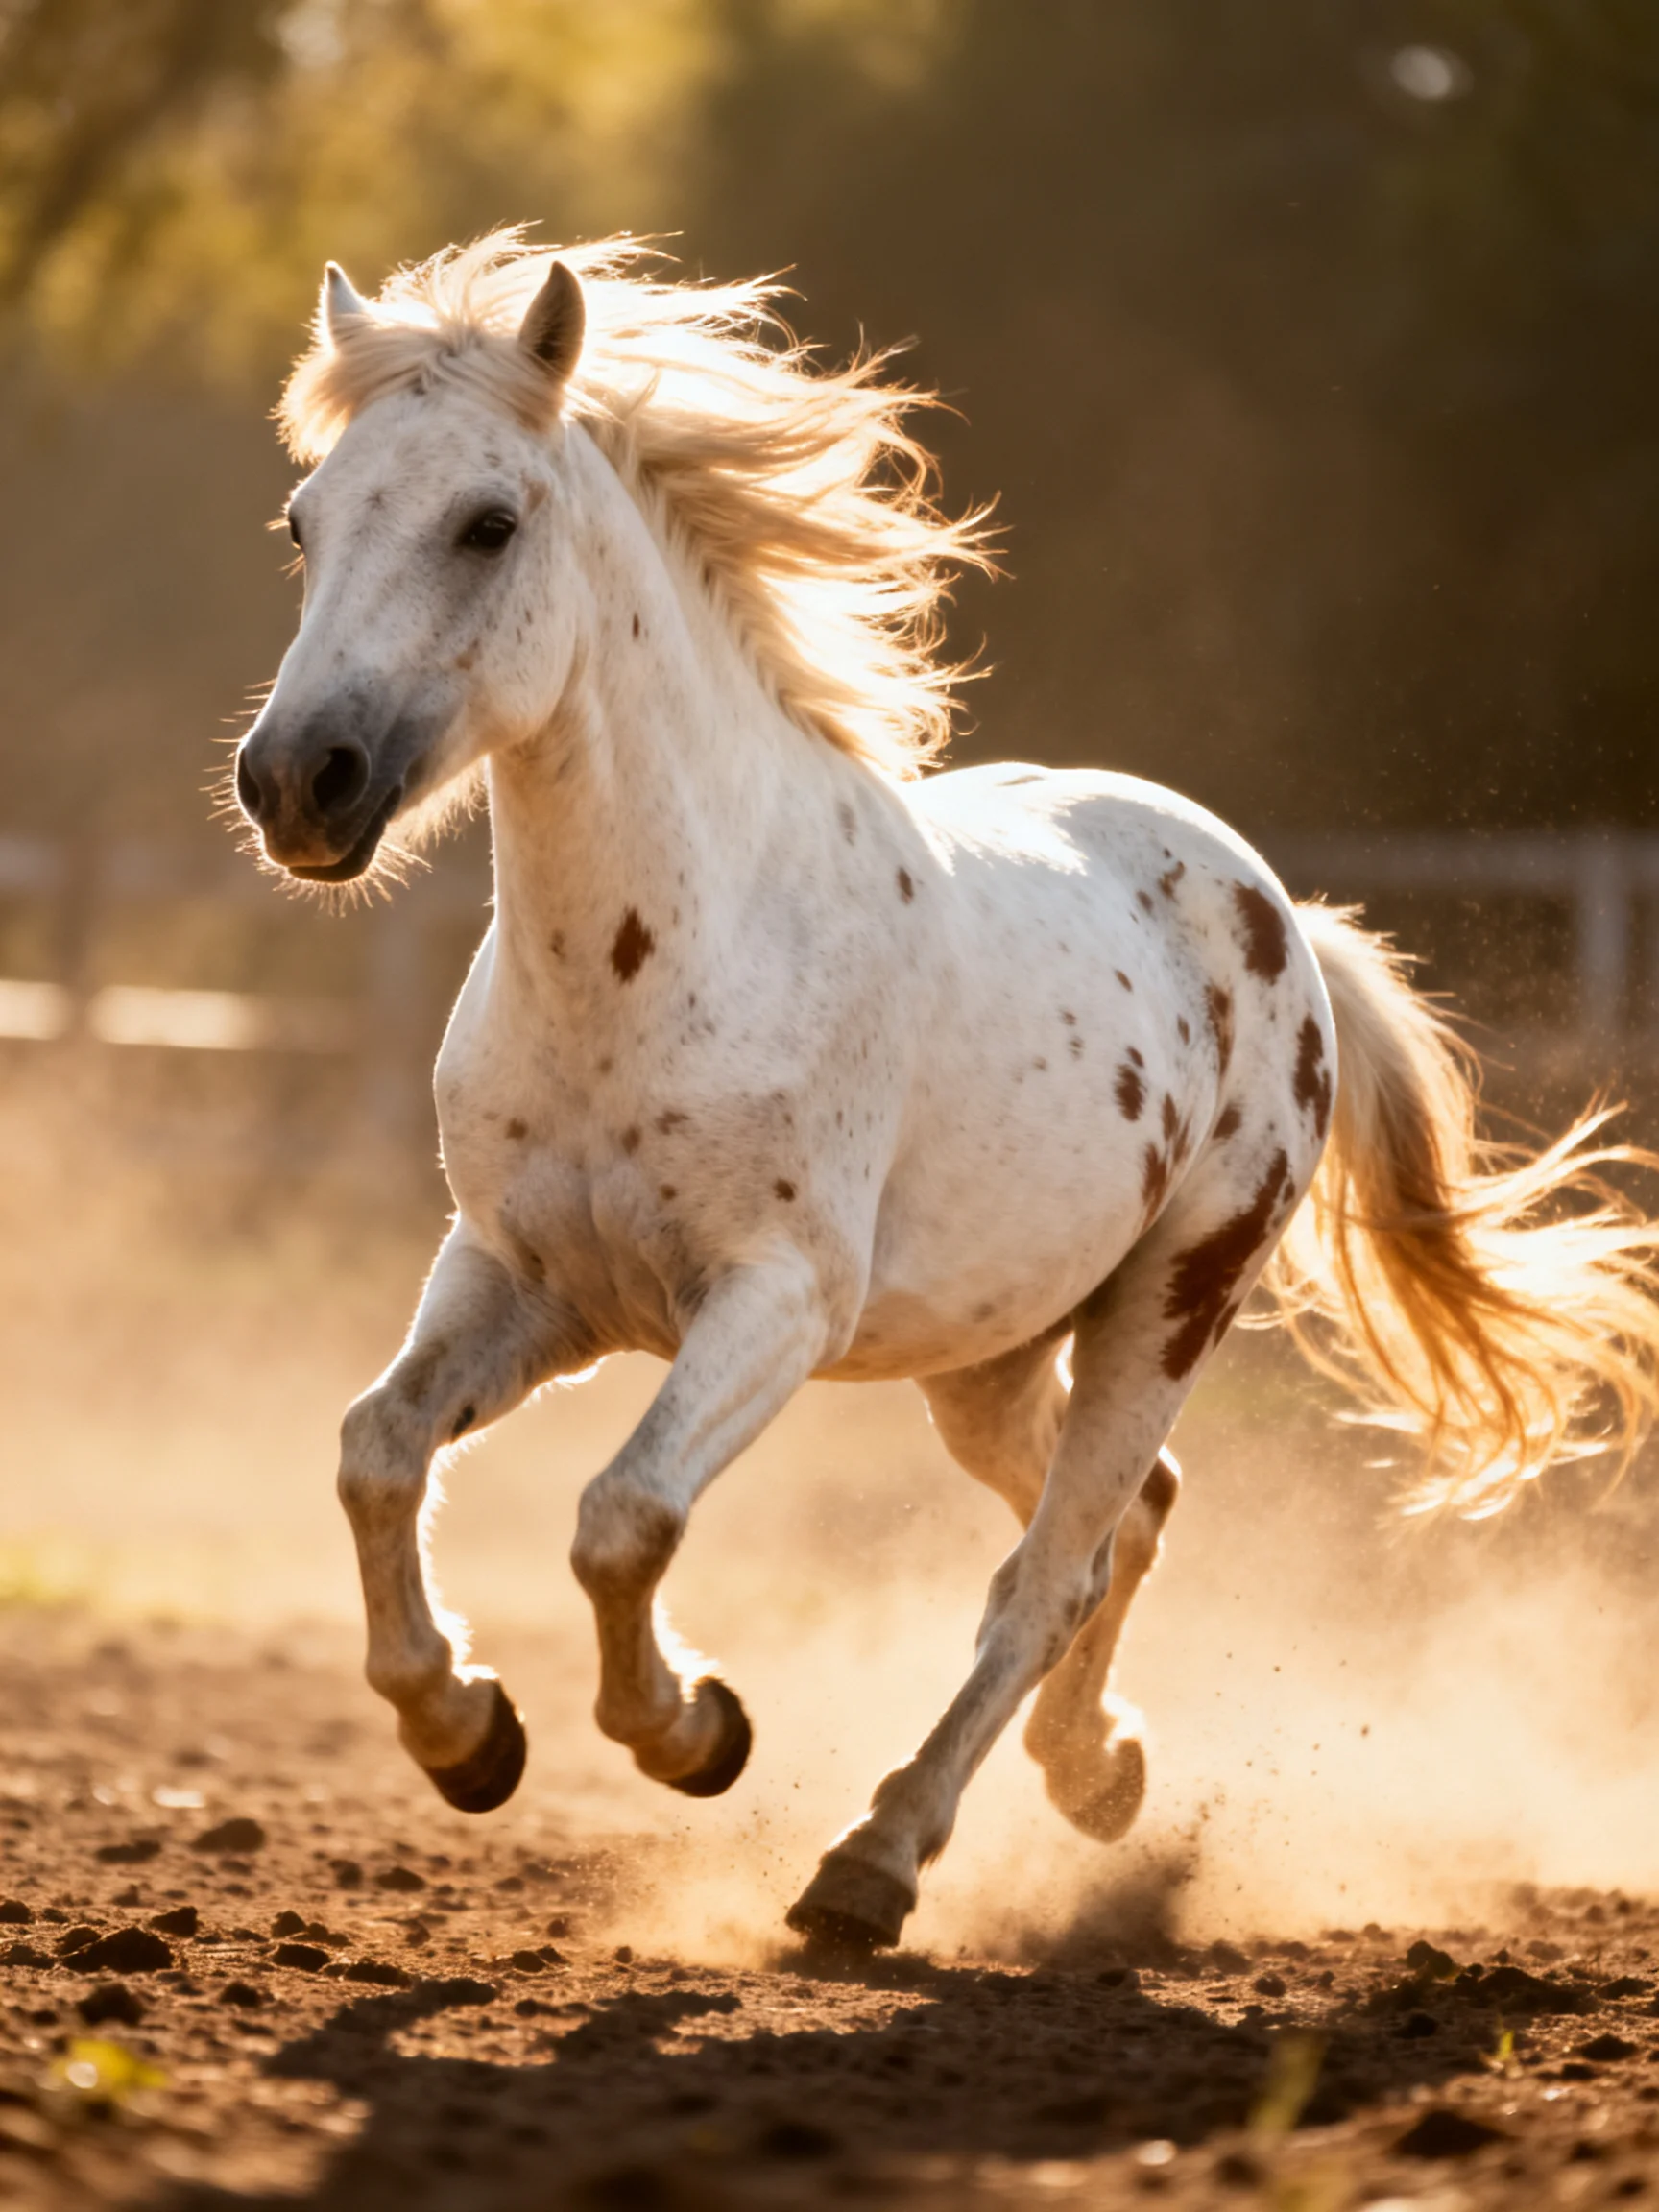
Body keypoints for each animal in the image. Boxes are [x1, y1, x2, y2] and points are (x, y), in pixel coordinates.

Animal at [232, 231, 1659, 1950]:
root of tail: (1278, 915)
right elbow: (377, 1450)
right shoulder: (524, 1277)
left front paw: (695, 1733)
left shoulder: (777, 1301)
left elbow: (622, 1519)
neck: (666, 954)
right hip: (986, 1359)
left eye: (486, 522)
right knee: (1120, 1522)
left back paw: (875, 1860)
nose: (296, 782)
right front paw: (466, 1734)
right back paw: (1094, 1772)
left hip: (1168, 1305)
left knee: (1048, 1571)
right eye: (304, 523)